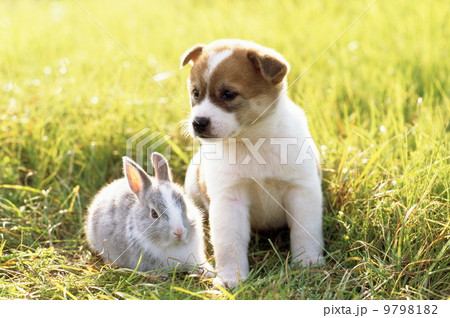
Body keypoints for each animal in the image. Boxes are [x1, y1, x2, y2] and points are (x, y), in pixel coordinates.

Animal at [179, 38, 324, 286]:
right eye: (196, 93)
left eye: (228, 94)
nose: (198, 123)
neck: (252, 142)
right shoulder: (230, 198)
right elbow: (229, 243)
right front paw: (231, 277)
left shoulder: (301, 190)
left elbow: (305, 231)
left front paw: (308, 263)